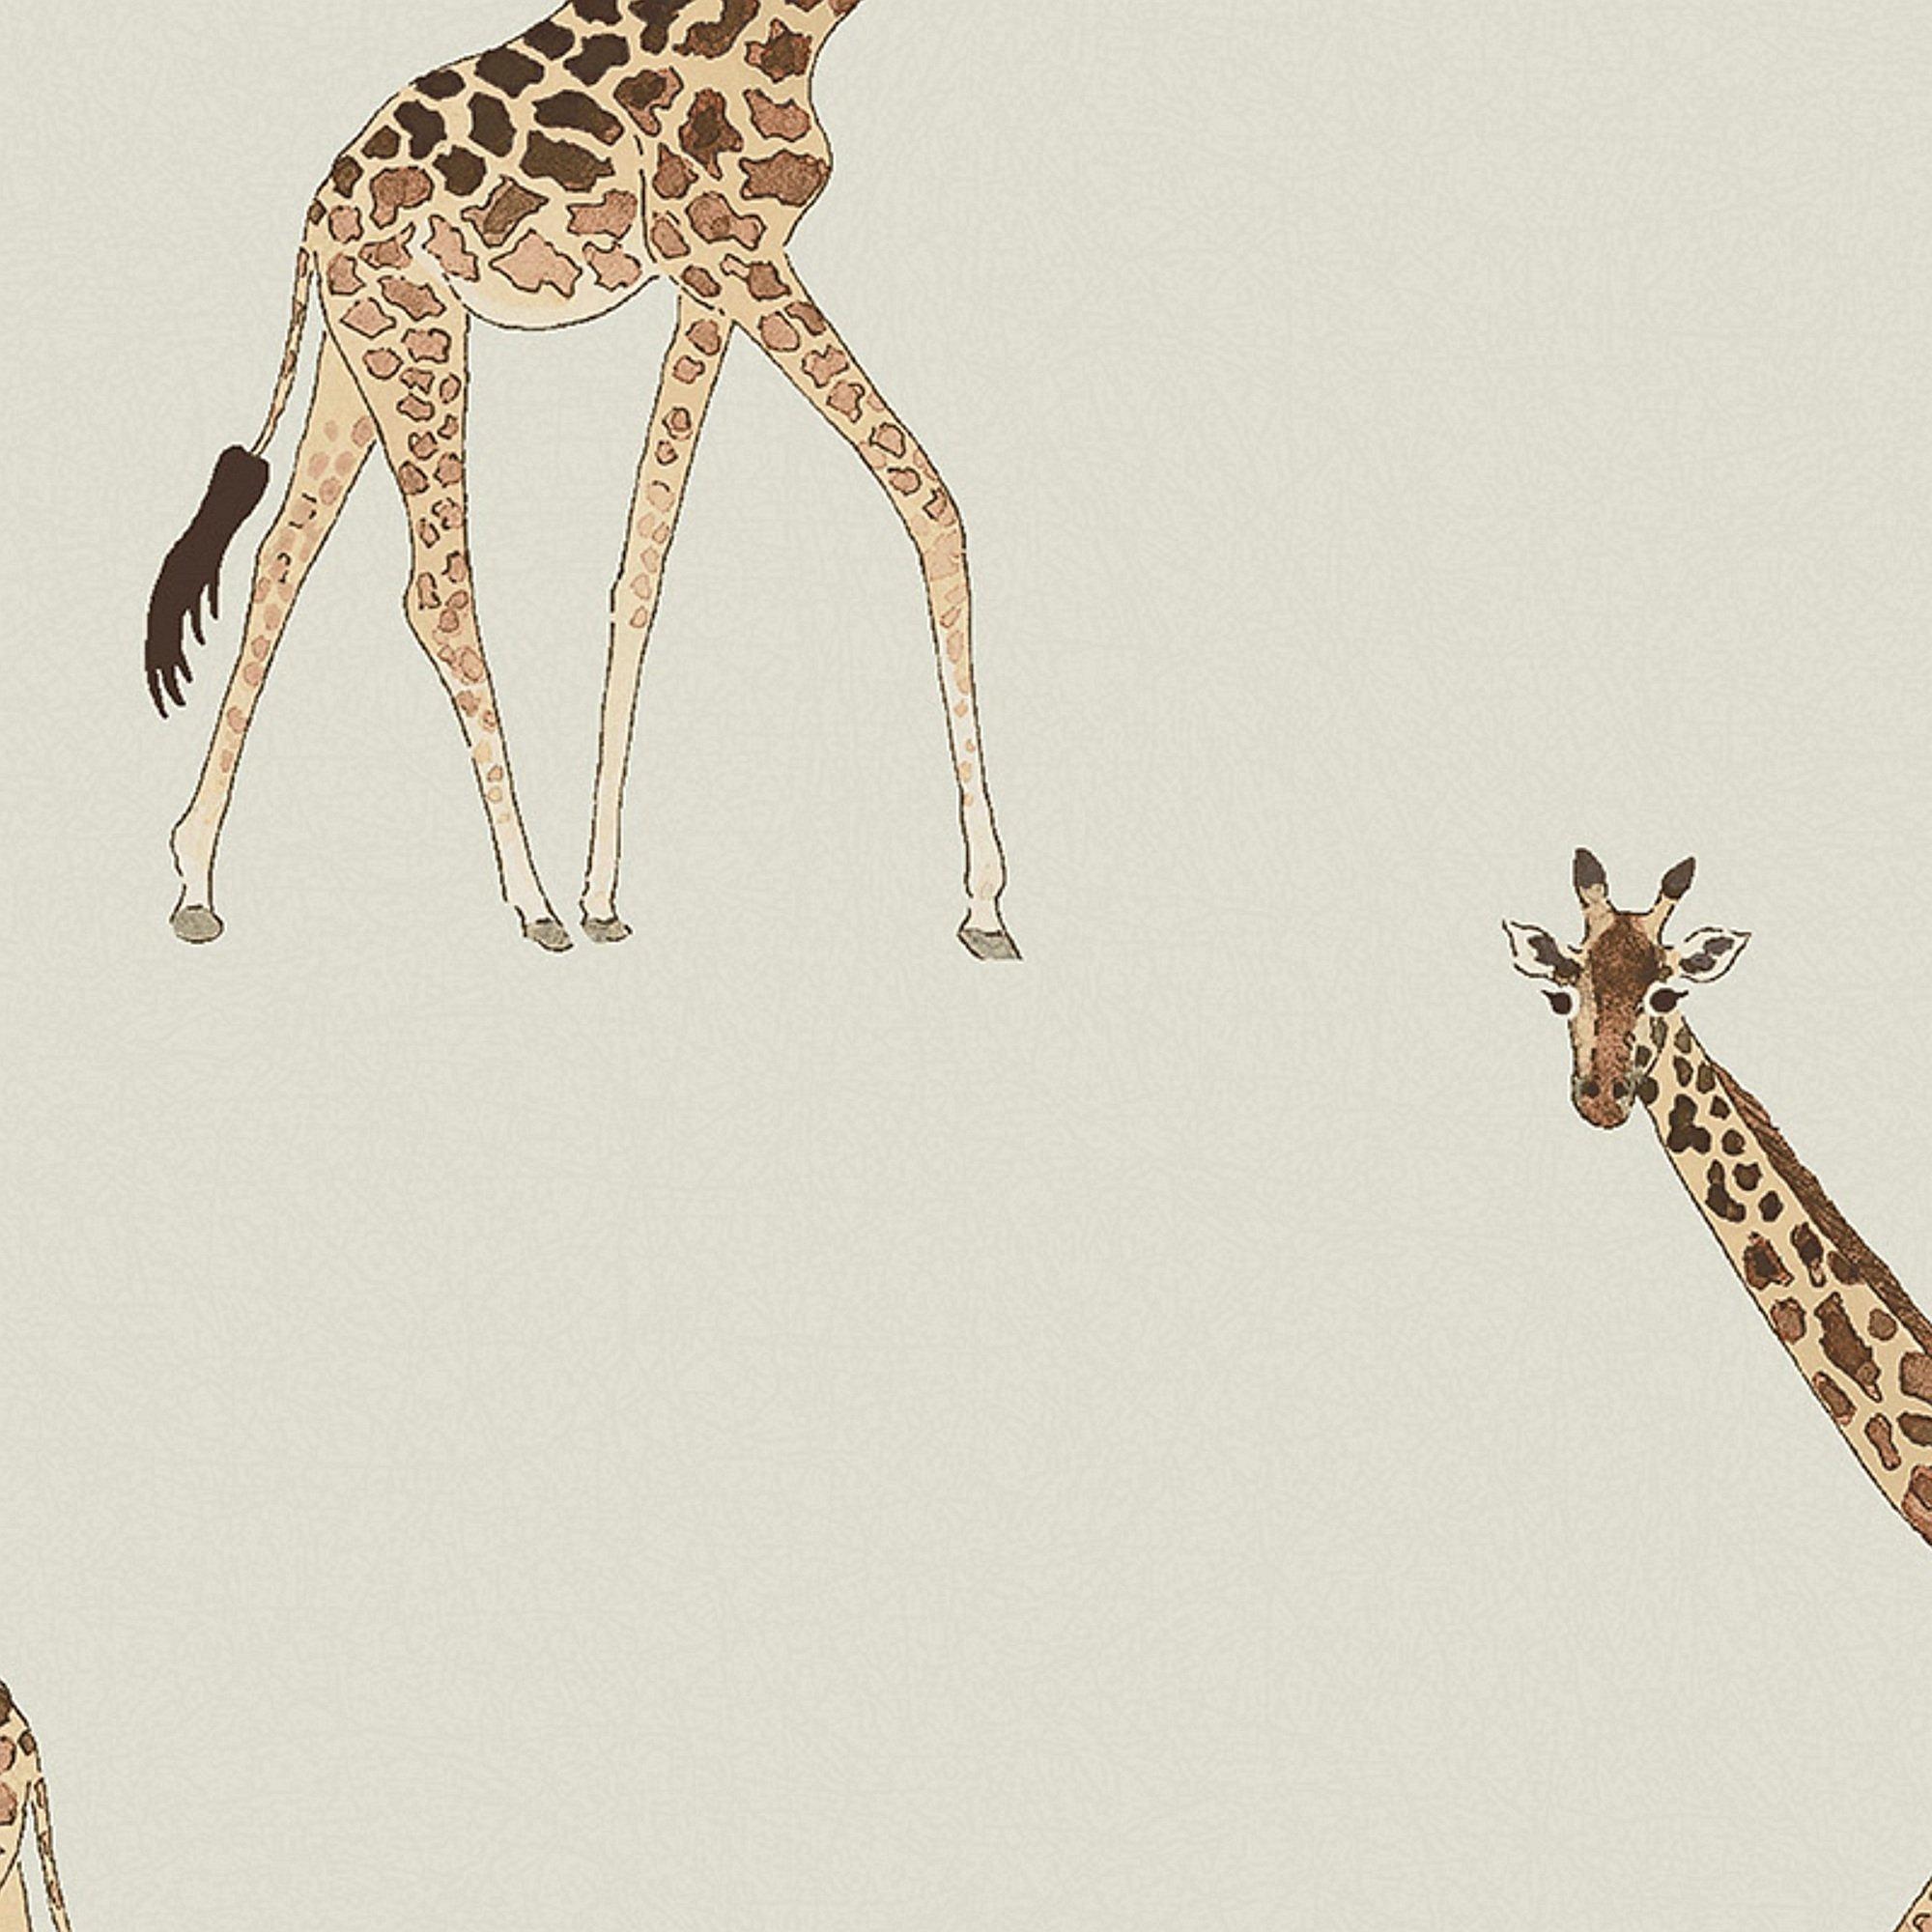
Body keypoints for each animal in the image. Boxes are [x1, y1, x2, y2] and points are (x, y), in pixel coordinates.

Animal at [145, 0, 1018, 959]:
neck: (804, 23)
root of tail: (312, 221)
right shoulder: (731, 252)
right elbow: (930, 500)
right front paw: (985, 904)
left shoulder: (707, 282)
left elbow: (642, 564)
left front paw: (604, 893)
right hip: (419, 338)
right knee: (435, 592)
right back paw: (531, 902)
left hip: (357, 349)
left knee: (282, 553)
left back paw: (195, 876)